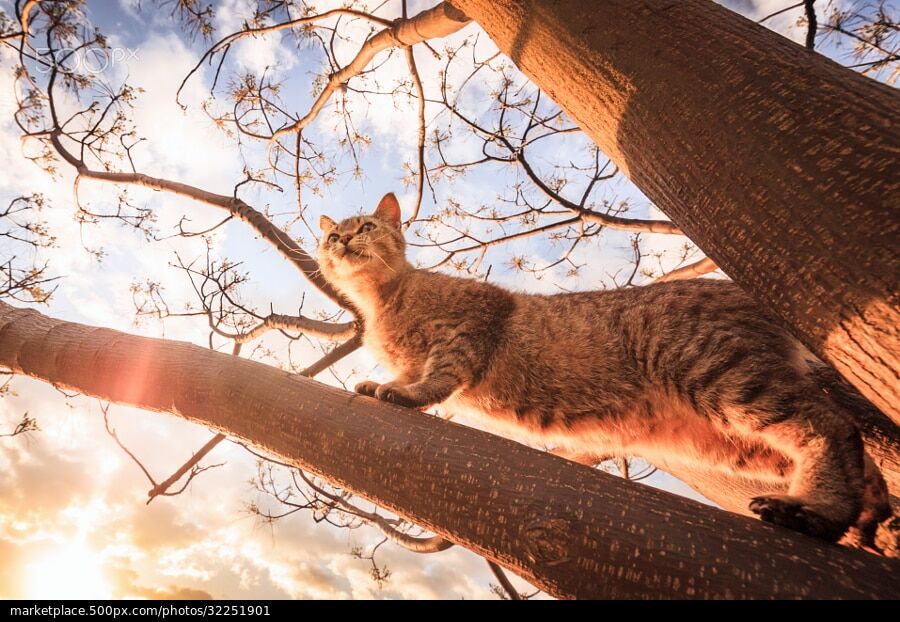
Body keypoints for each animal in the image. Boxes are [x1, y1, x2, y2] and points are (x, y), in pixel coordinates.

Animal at [318, 193, 892, 548]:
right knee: (860, 457)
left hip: (723, 375)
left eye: (366, 226)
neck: (383, 303)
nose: (341, 241)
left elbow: (437, 379)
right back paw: (865, 512)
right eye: (330, 238)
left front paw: (401, 393)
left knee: (830, 424)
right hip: (735, 441)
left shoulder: (470, 327)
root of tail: (741, 290)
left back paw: (817, 512)